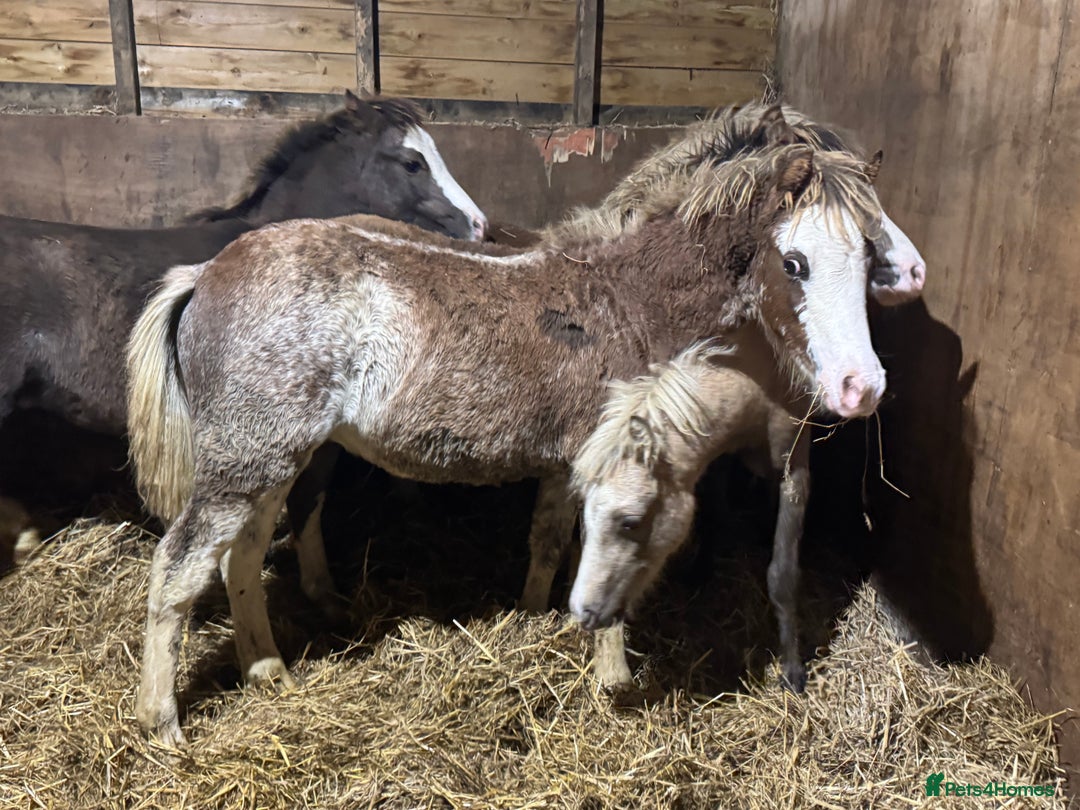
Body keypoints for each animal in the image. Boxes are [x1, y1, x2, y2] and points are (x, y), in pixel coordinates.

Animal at [569, 325, 813, 690]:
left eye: (630, 522)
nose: (583, 612)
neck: (763, 386)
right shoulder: (716, 460)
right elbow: (713, 516)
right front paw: (700, 571)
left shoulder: (794, 474)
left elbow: (782, 576)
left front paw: (792, 670)